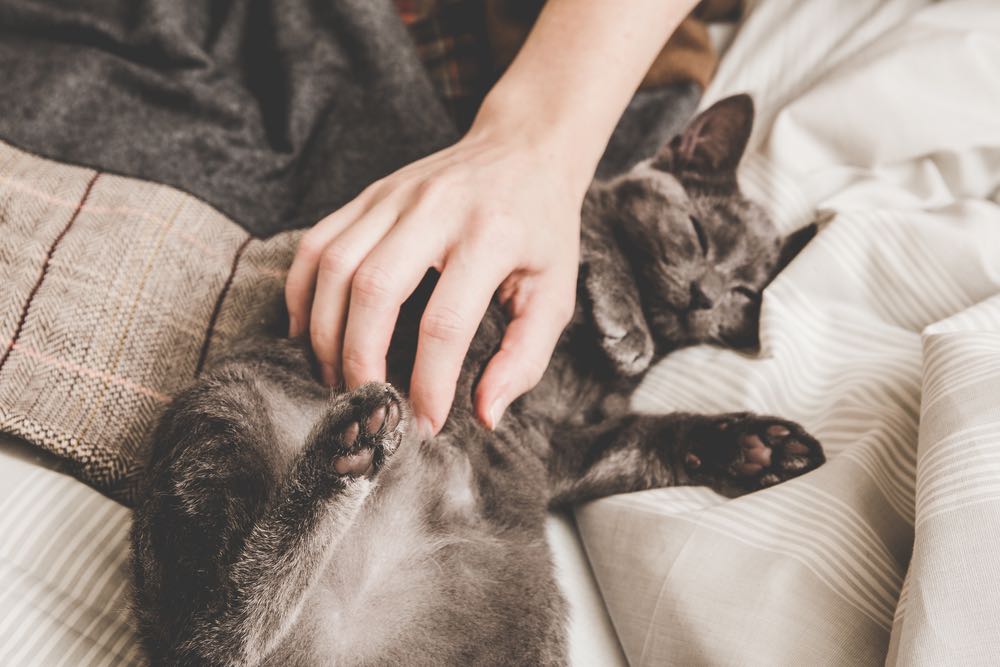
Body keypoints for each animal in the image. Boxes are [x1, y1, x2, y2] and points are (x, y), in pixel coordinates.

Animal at [129, 95, 824, 667]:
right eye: (696, 233)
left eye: (745, 292)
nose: (704, 295)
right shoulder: (480, 256)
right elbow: (588, 241)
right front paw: (625, 320)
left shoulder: (560, 448)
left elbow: (644, 439)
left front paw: (757, 446)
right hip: (227, 405)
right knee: (212, 635)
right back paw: (347, 449)